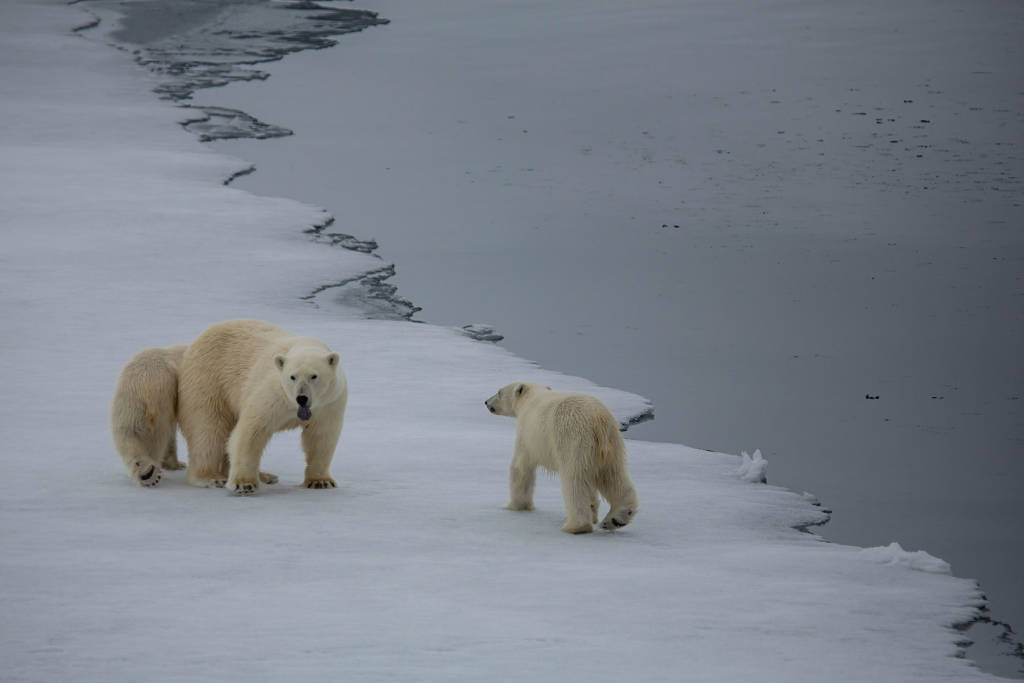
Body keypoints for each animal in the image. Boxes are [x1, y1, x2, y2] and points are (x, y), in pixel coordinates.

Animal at [112, 348, 190, 485]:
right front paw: (179, 465)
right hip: (161, 399)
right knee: (157, 437)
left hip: (128, 407)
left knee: (128, 436)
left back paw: (145, 471)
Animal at [177, 321, 348, 497]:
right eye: (292, 377)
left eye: (314, 376)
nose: (301, 398)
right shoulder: (272, 394)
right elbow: (251, 431)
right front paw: (243, 485)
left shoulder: (329, 403)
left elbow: (321, 436)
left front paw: (320, 481)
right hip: (208, 379)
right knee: (208, 428)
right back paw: (211, 477)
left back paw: (266, 476)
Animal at [483, 385, 634, 532]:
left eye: (499, 392)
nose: (486, 402)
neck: (530, 398)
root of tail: (598, 420)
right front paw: (593, 511)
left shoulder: (527, 434)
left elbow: (521, 467)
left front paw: (515, 505)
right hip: (612, 445)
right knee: (614, 476)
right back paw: (616, 519)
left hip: (574, 441)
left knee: (574, 481)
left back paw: (576, 526)